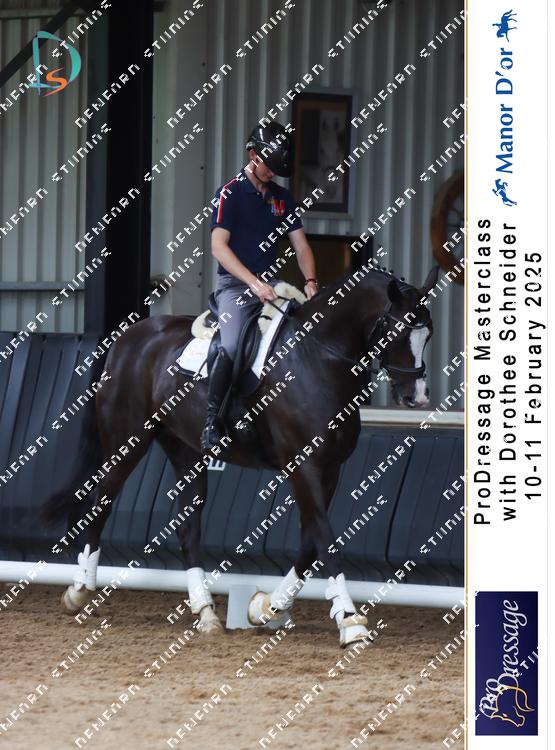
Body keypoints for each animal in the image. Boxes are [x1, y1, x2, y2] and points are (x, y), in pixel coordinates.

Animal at [43, 265, 438, 647]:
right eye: (398, 331)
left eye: (429, 334)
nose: (417, 396)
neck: (317, 357)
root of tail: (127, 337)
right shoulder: (304, 465)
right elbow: (326, 540)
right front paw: (350, 622)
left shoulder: (329, 469)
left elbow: (311, 543)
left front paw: (267, 607)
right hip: (128, 439)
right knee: (102, 502)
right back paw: (79, 593)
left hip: (186, 450)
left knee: (188, 525)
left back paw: (205, 612)